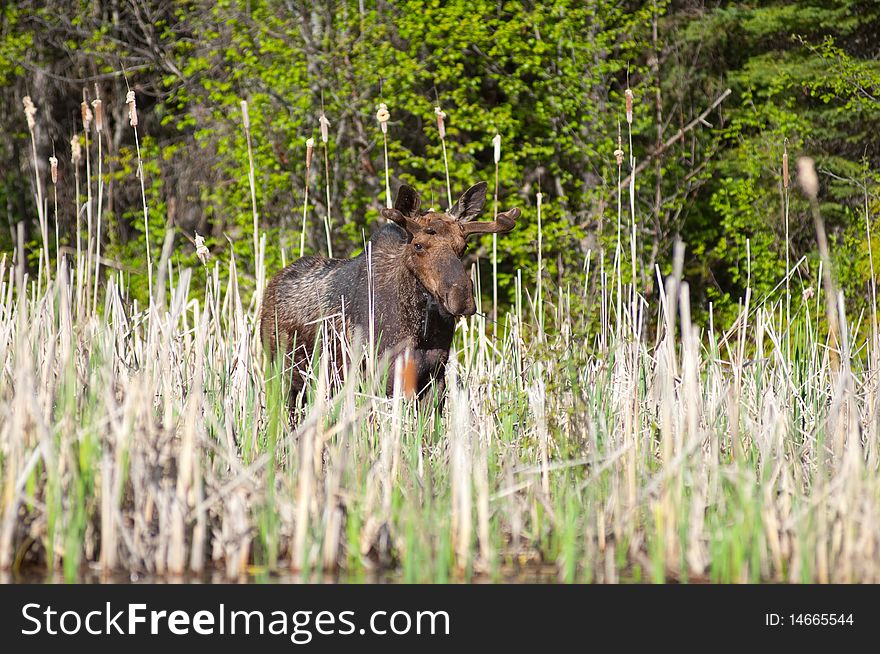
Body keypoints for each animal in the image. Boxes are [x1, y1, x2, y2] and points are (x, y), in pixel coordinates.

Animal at [262, 182, 524, 402]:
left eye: (464, 246)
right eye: (418, 245)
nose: (461, 298)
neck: (419, 327)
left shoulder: (434, 378)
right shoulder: (376, 378)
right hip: (282, 378)